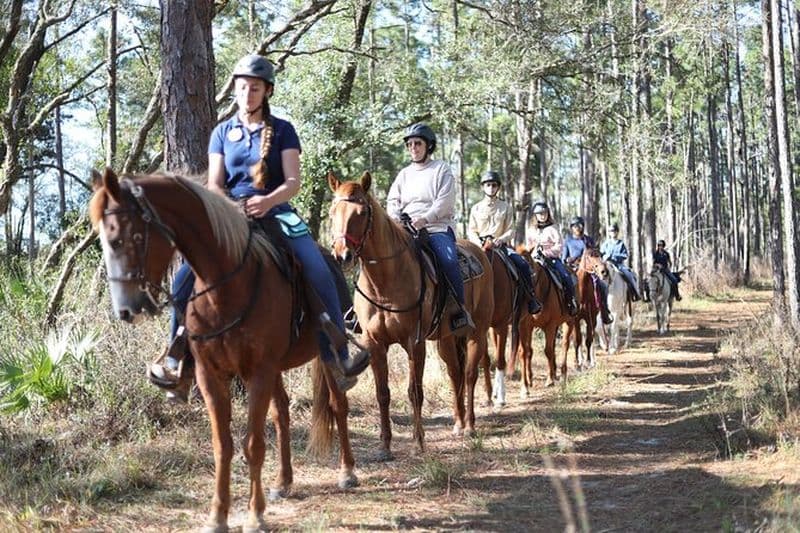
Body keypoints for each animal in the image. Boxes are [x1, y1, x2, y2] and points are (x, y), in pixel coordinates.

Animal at [89, 168, 357, 532]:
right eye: (104, 239)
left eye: (130, 237)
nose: (127, 309)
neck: (225, 287)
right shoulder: (211, 375)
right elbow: (223, 445)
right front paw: (218, 516)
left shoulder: (258, 371)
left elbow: (253, 444)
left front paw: (255, 516)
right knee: (282, 413)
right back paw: (283, 482)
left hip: (324, 355)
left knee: (338, 404)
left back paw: (347, 472)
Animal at [327, 172, 494, 457]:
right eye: (332, 211)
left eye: (361, 212)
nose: (342, 255)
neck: (385, 282)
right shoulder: (375, 344)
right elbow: (383, 393)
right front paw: (384, 446)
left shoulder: (414, 342)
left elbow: (415, 392)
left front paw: (418, 442)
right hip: (447, 339)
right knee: (456, 374)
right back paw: (458, 424)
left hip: (477, 333)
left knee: (471, 374)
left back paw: (470, 426)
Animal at [508, 249, 572, 393]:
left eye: (530, 269)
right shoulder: (526, 325)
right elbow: (527, 351)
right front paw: (528, 381)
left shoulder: (550, 325)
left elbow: (547, 351)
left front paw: (549, 380)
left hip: (570, 322)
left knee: (564, 345)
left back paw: (562, 374)